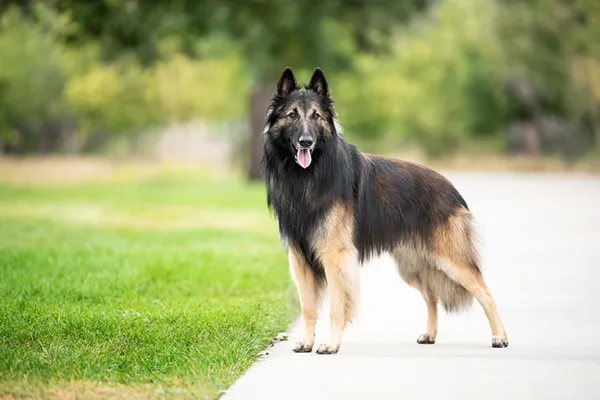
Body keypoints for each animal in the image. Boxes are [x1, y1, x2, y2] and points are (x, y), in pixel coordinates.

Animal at [260, 67, 508, 354]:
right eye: (292, 115)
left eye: (316, 116)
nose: (306, 142)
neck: (308, 176)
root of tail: (452, 189)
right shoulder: (299, 258)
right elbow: (308, 308)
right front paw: (305, 342)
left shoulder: (335, 256)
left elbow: (336, 306)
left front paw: (330, 344)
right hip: (412, 266)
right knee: (431, 296)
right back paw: (429, 334)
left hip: (451, 261)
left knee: (485, 293)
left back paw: (500, 337)